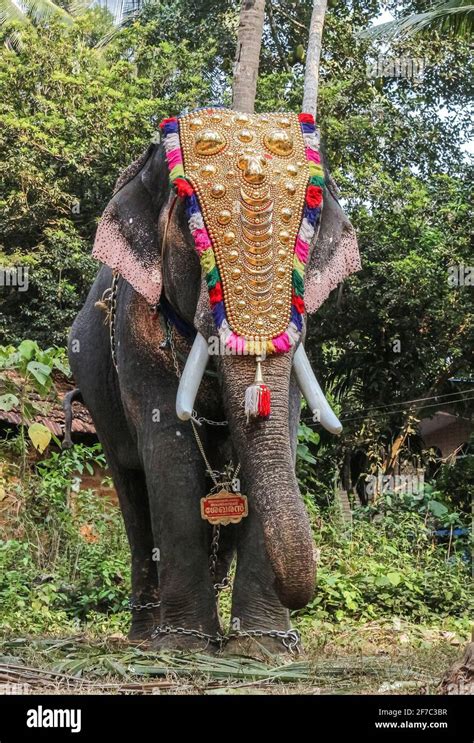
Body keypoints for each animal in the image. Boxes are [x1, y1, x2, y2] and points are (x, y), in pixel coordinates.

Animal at [69, 110, 360, 656]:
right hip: (95, 395)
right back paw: (146, 637)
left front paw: (262, 650)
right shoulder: (137, 333)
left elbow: (281, 431)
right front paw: (184, 649)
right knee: (131, 490)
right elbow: (170, 449)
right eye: (196, 233)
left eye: (306, 237)